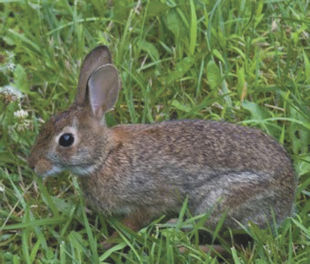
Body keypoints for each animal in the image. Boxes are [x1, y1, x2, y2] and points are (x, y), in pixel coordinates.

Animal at [27, 45, 296, 241]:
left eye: (66, 140)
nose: (33, 165)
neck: (105, 156)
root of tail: (288, 195)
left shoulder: (146, 201)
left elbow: (134, 221)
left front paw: (109, 242)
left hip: (222, 198)